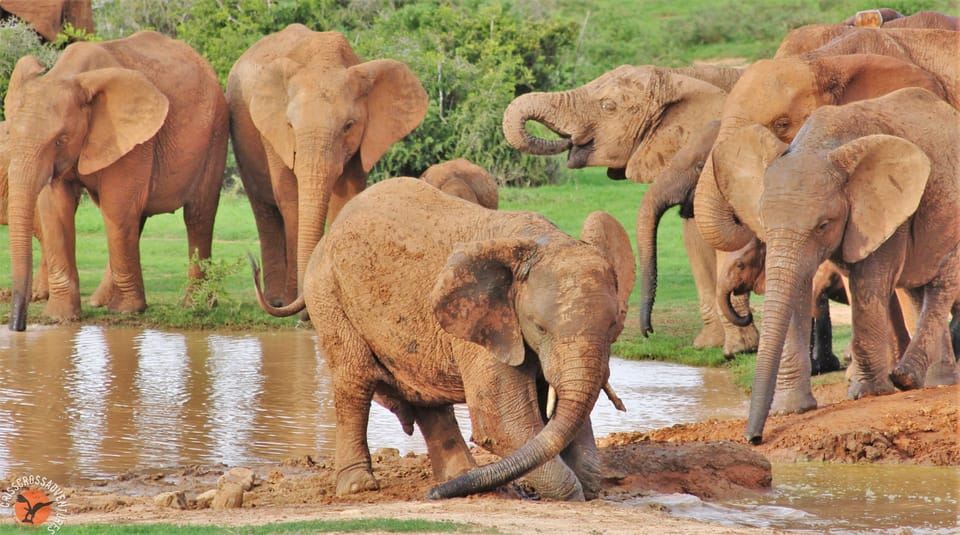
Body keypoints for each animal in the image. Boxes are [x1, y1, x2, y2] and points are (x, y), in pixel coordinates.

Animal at [4, 31, 228, 331]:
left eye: (61, 139)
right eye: (10, 134)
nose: (18, 326)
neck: (70, 75)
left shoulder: (131, 138)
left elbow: (117, 207)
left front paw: (127, 311)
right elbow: (55, 208)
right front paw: (61, 317)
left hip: (216, 132)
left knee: (198, 216)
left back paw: (194, 305)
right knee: (137, 218)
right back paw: (100, 302)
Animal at [227, 24, 428, 307]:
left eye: (348, 126)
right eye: (290, 125)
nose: (251, 267)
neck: (323, 60)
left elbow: (345, 197)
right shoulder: (273, 132)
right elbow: (290, 198)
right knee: (263, 207)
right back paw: (277, 300)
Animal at [251, 177, 635, 501]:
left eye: (613, 326)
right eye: (539, 327)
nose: (431, 497)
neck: (542, 241)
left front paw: (589, 484)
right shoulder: (484, 326)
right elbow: (500, 422)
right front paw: (575, 493)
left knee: (424, 395)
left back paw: (459, 478)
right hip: (329, 294)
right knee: (353, 381)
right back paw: (360, 487)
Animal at [502, 64, 760, 356]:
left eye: (609, 106)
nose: (649, 332)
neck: (680, 74)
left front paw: (738, 349)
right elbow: (696, 238)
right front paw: (708, 345)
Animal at [720, 88, 960, 443]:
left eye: (823, 224)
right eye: (762, 220)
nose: (754, 439)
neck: (820, 146)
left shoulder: (880, 208)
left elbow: (869, 281)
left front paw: (868, 393)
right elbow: (799, 287)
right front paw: (791, 410)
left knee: (941, 284)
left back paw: (905, 378)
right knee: (918, 289)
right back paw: (934, 382)